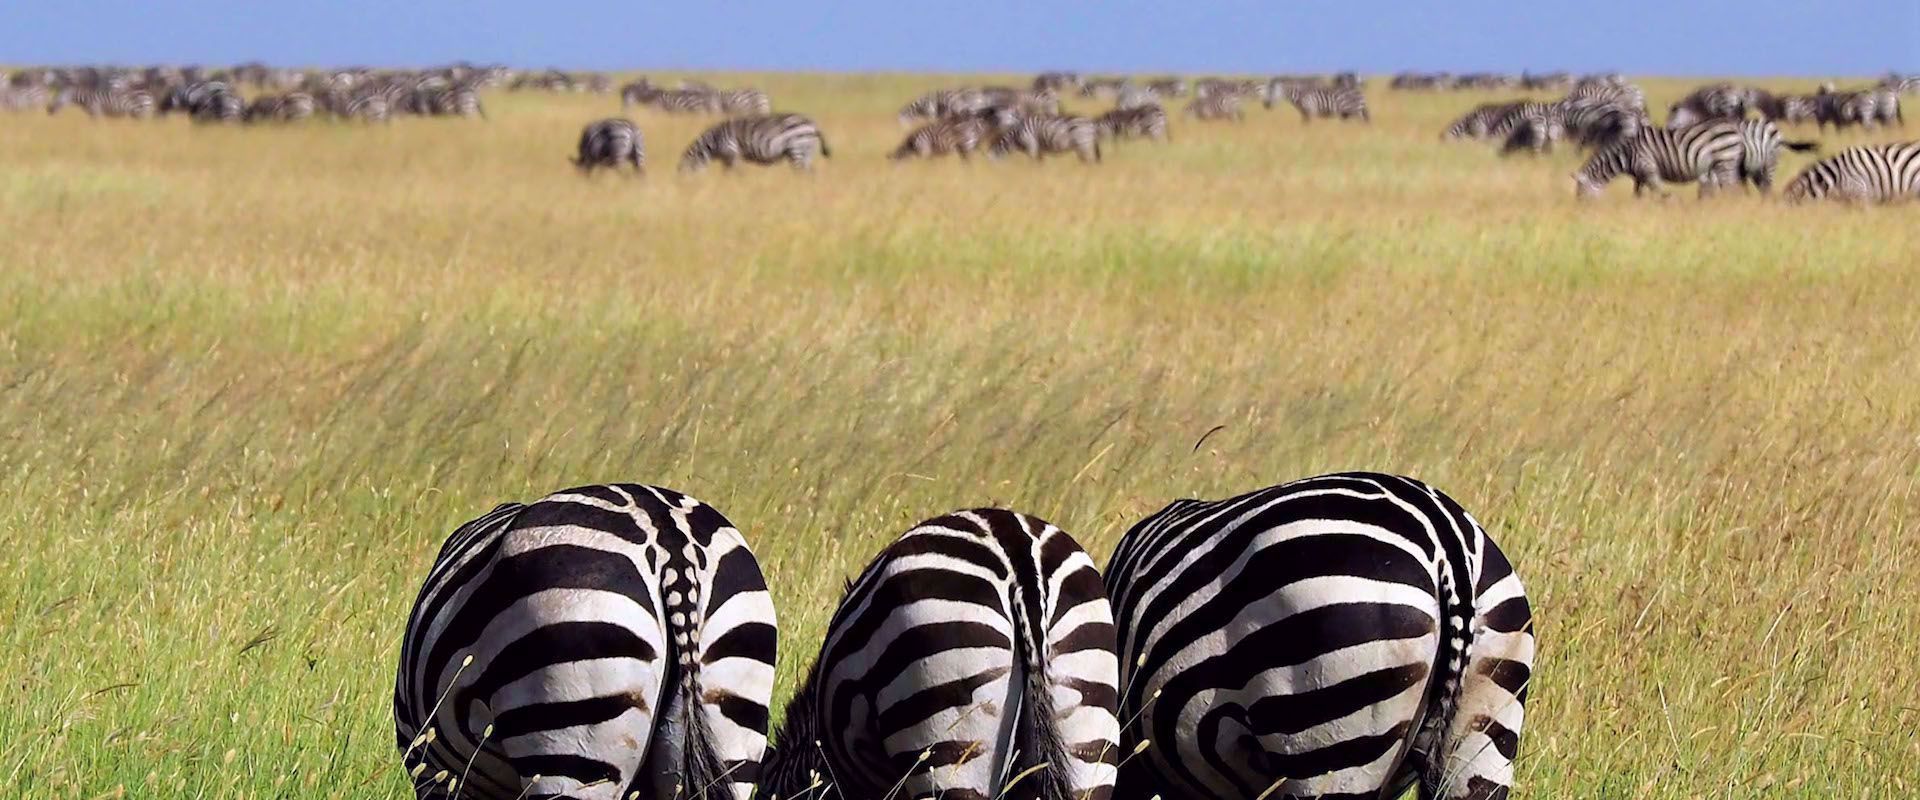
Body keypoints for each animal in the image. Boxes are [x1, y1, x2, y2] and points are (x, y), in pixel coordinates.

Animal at [679, 113, 831, 172]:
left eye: (684, 174)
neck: (713, 142)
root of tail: (813, 126)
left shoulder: (731, 151)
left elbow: (735, 173)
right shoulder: (727, 158)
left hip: (797, 149)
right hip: (806, 152)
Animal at [1571, 120, 1745, 199]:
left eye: (1580, 194)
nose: (1580, 211)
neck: (1625, 154)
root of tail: (1734, 128)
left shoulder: (1648, 168)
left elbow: (1658, 192)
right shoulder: (1639, 176)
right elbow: (1637, 195)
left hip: (1725, 161)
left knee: (1732, 189)